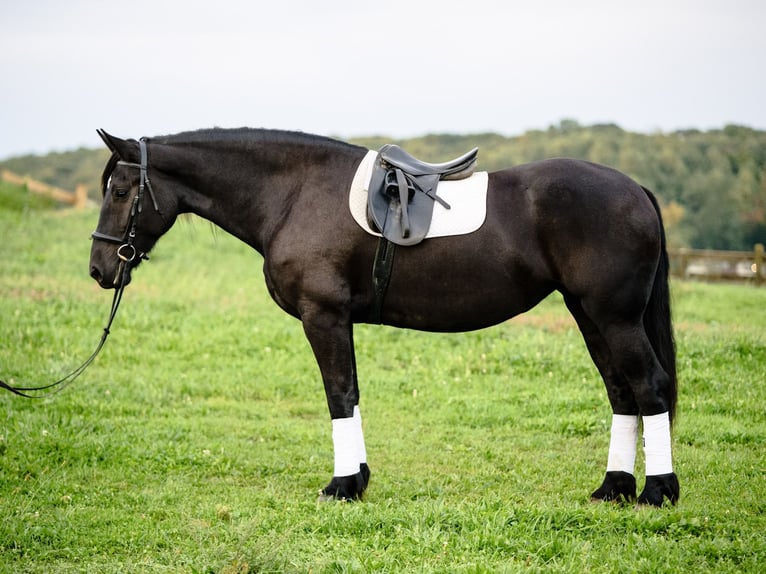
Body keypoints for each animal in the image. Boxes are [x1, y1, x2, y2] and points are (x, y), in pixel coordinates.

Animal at [89, 128, 679, 506]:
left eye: (120, 191)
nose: (99, 268)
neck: (294, 193)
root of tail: (636, 190)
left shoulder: (324, 316)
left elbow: (339, 395)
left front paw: (343, 486)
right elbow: (346, 395)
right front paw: (357, 480)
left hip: (615, 319)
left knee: (649, 387)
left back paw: (656, 492)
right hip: (589, 315)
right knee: (622, 392)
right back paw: (613, 489)